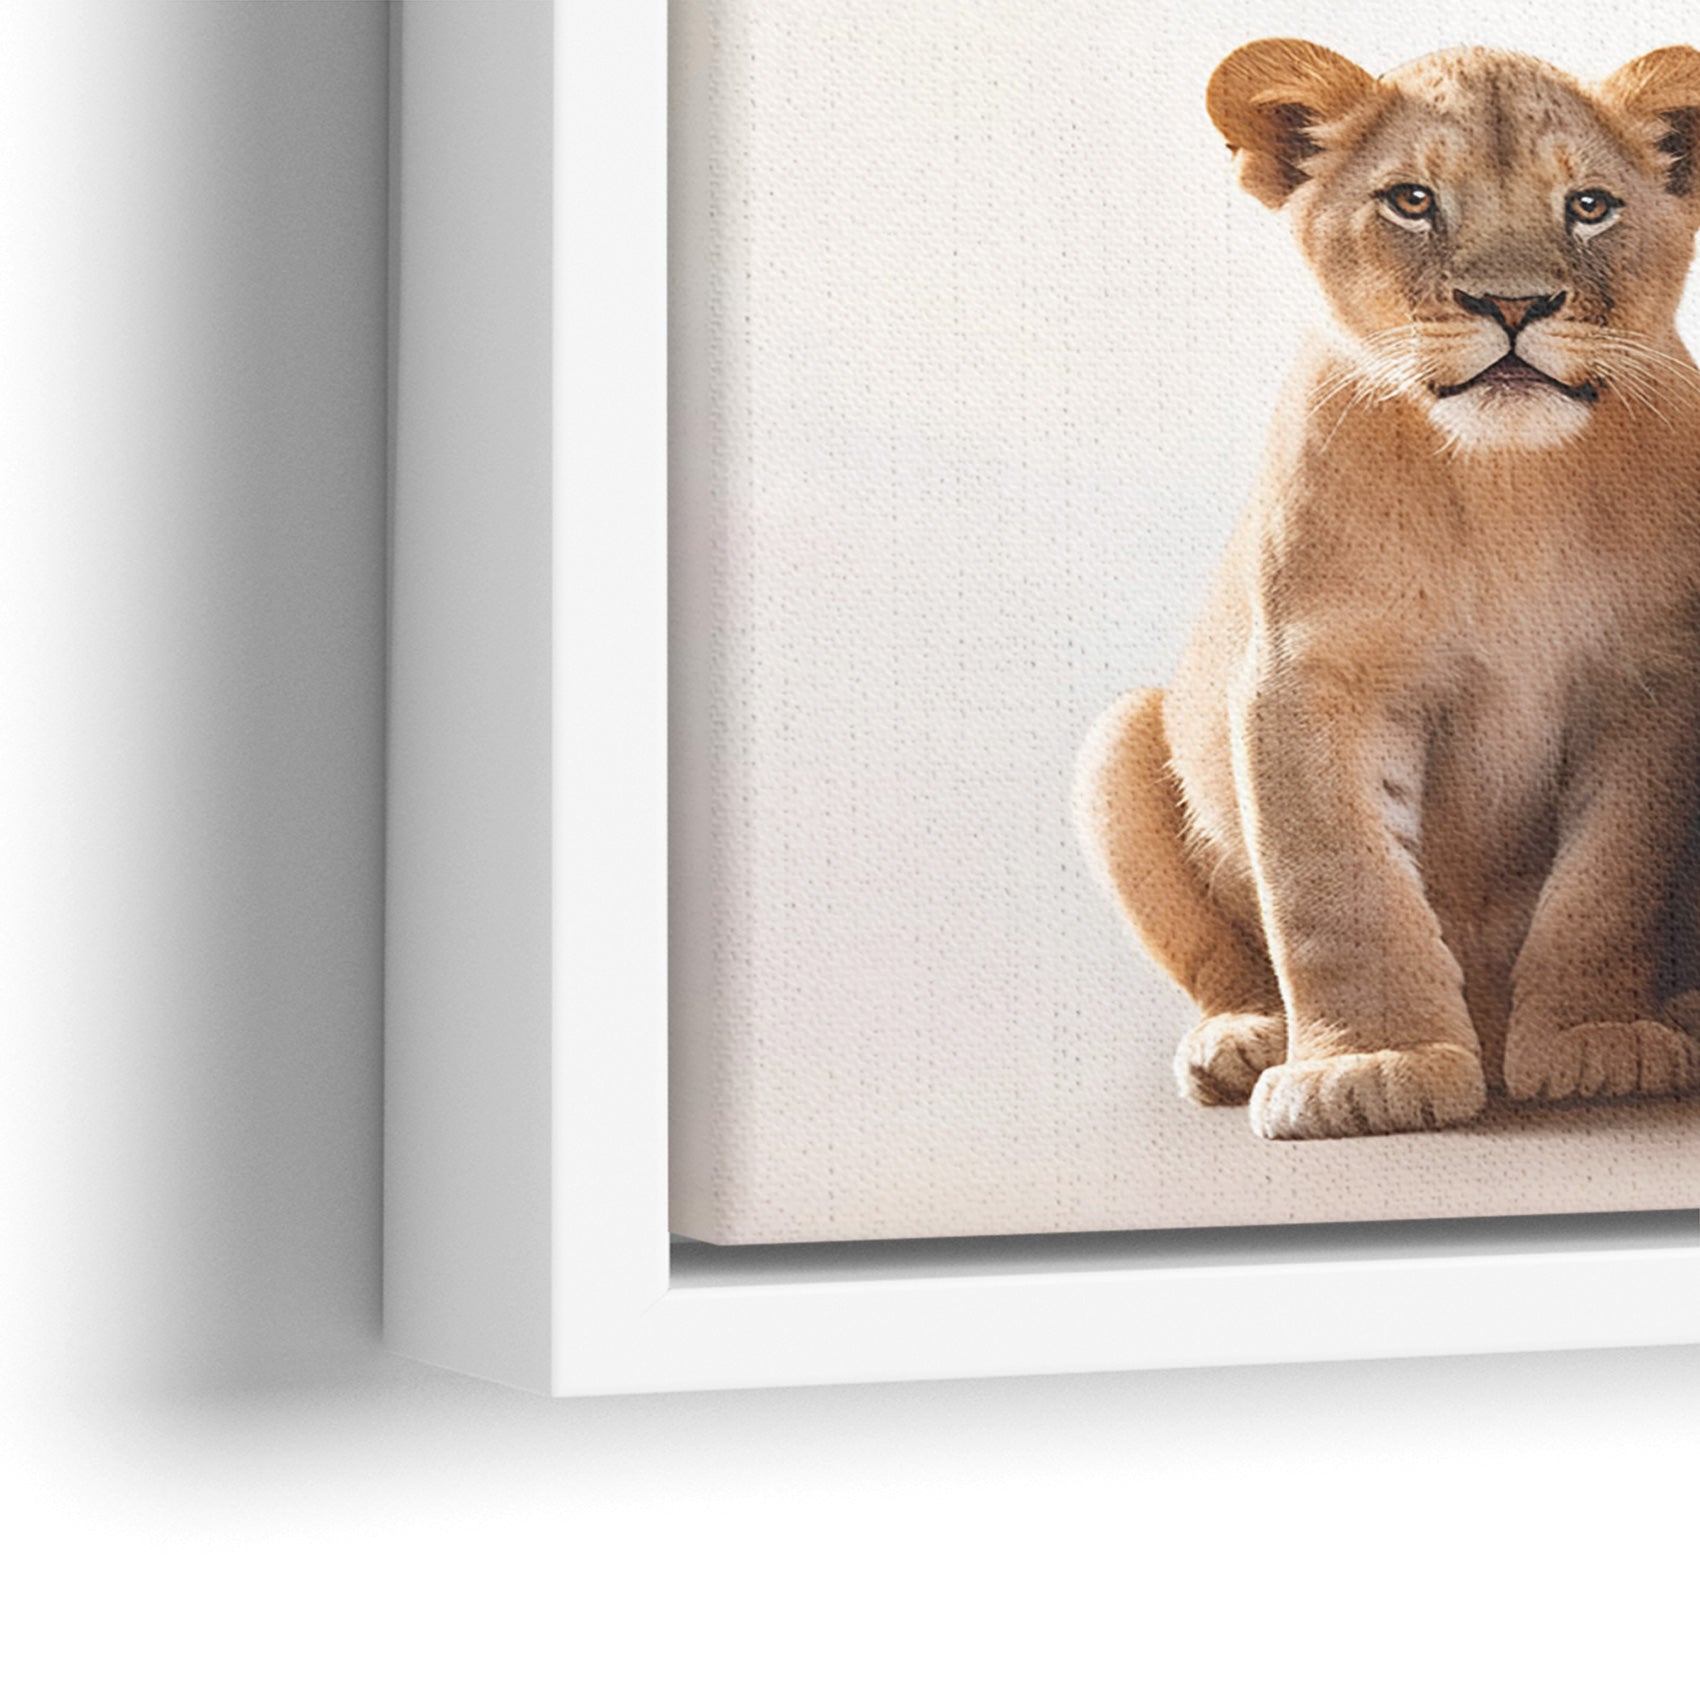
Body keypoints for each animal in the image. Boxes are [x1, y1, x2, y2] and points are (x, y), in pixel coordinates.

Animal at [1075, 41, 1700, 1139]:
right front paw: (1368, 1067)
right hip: (1116, 742)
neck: (1504, 483)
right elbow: (1339, 883)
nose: (1511, 306)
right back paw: (1242, 1042)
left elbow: (1609, 882)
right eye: (1412, 200)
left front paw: (1600, 1041)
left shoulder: (1651, 681)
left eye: (1588, 205)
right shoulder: (1311, 672)